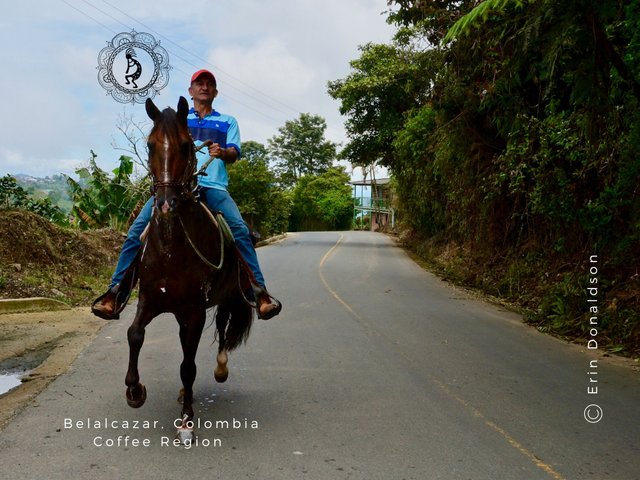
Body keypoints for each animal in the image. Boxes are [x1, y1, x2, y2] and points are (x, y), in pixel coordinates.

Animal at [125, 97, 252, 442]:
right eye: (150, 144)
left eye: (185, 145)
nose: (166, 203)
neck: (172, 247)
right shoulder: (149, 299)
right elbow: (135, 334)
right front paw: (135, 391)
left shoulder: (194, 311)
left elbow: (188, 365)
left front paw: (186, 420)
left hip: (227, 296)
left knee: (222, 327)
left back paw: (219, 369)